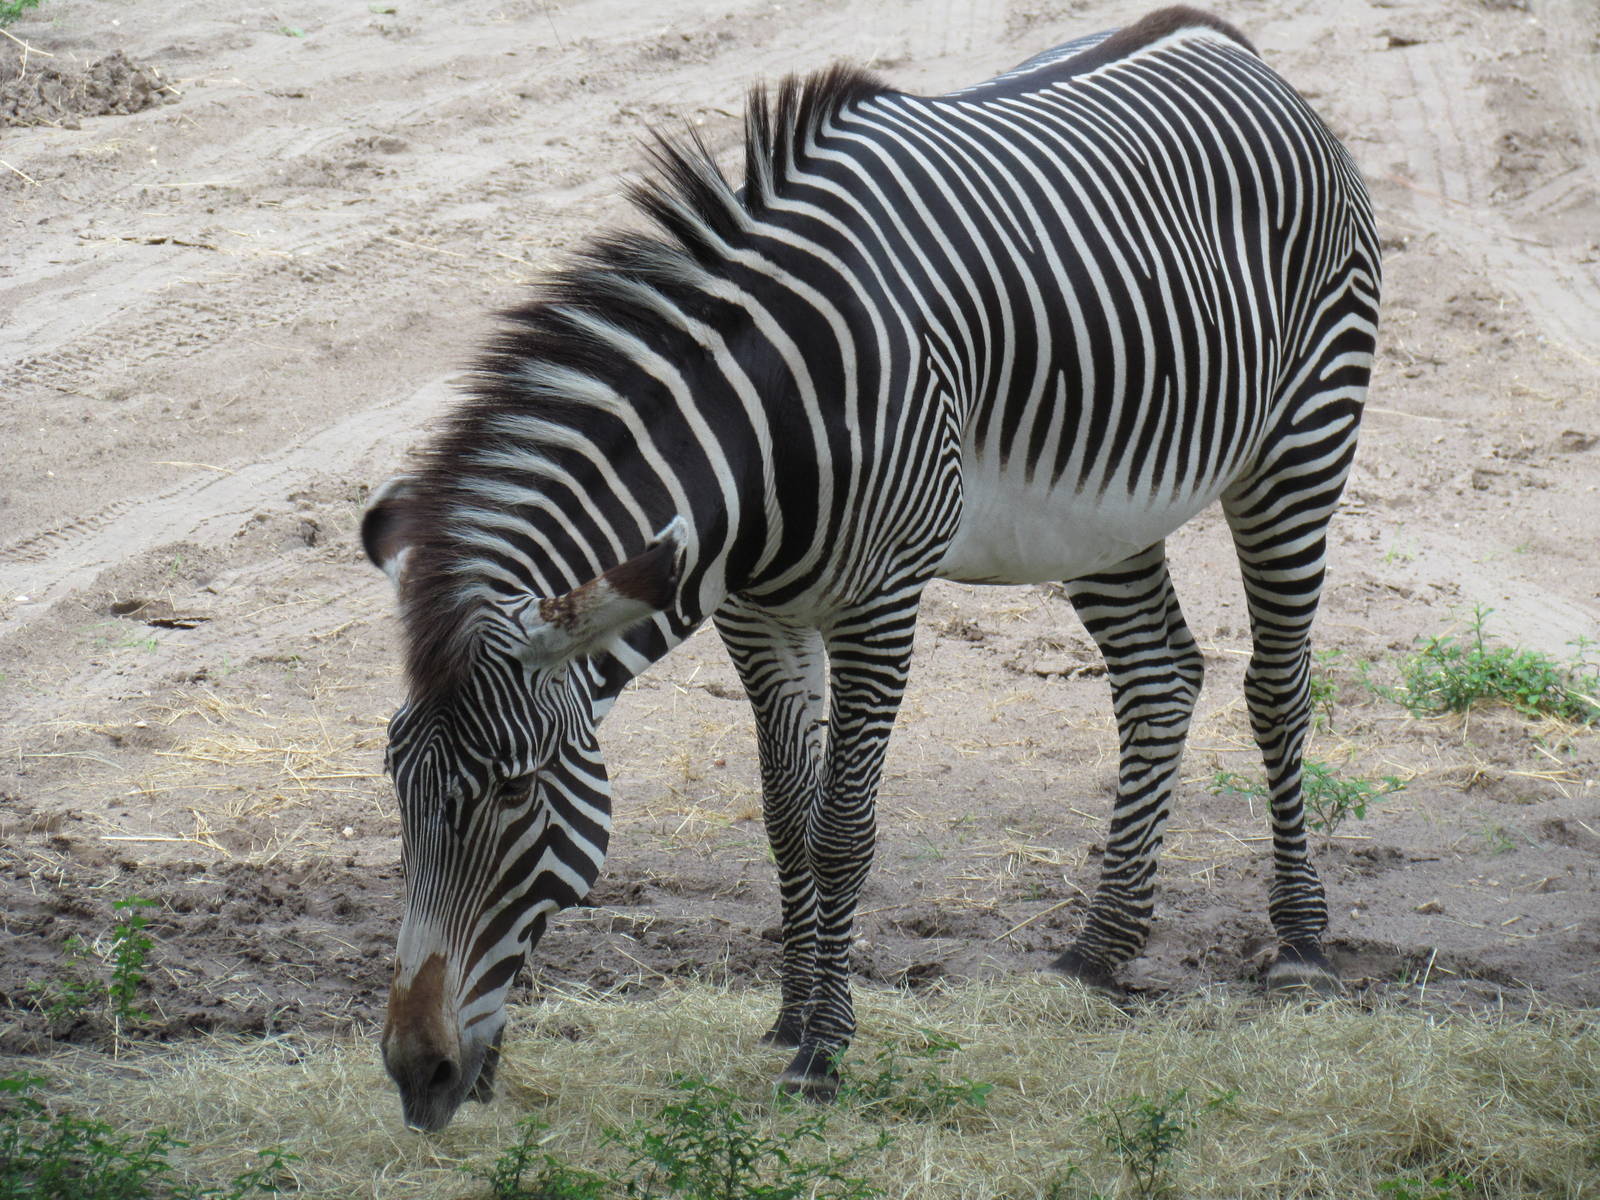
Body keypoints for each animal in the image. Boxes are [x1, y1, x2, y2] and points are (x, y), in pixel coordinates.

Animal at [363, 5, 1381, 1132]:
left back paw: (1299, 946)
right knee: (1160, 679)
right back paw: (1099, 949)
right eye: (397, 786)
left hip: (1303, 438)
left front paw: (825, 1051)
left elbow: (842, 828)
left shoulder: (879, 603)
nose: (417, 1074)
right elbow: (784, 819)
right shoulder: (755, 617)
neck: (760, 442)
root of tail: (1217, 37)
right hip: (1105, 510)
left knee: (1276, 687)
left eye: (516, 793)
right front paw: (787, 1014)